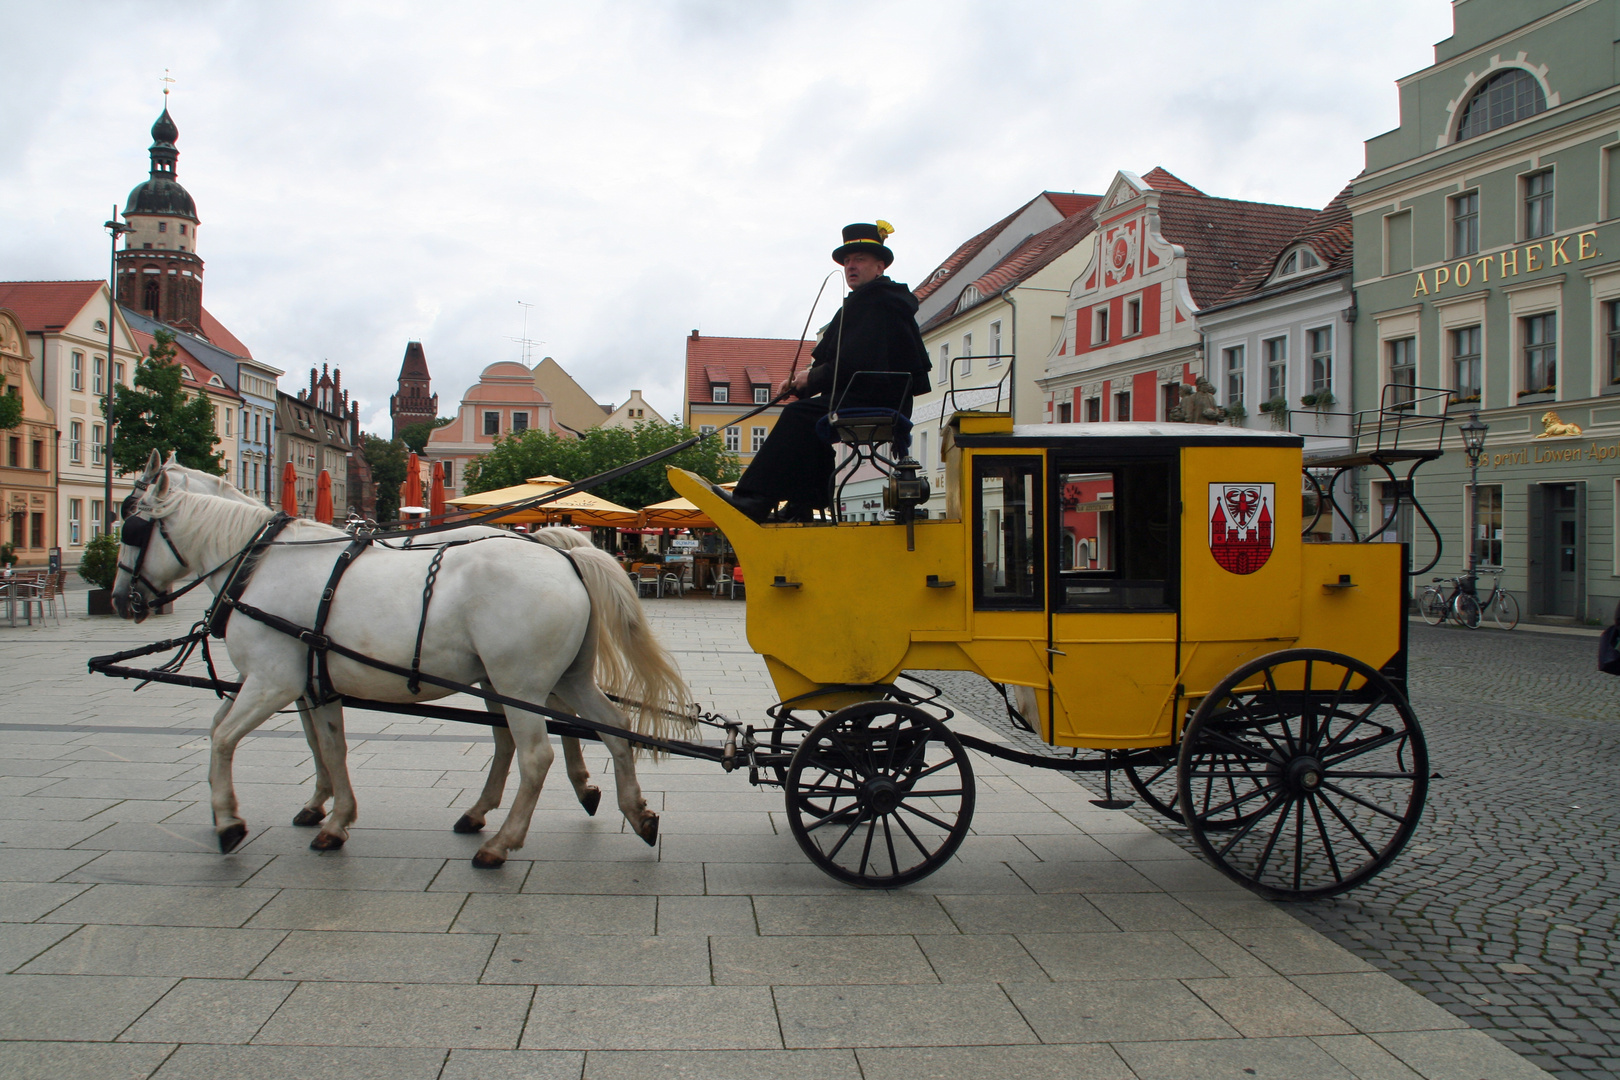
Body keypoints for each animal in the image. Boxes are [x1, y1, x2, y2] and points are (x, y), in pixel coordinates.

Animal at [110, 466, 693, 867]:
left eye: (131, 527)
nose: (121, 599)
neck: (261, 563)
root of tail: (565, 558)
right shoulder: (313, 684)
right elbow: (327, 747)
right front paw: (332, 816)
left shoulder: (273, 681)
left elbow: (223, 738)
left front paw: (229, 821)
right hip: (554, 677)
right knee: (610, 729)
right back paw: (632, 811)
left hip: (518, 680)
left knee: (535, 754)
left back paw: (502, 842)